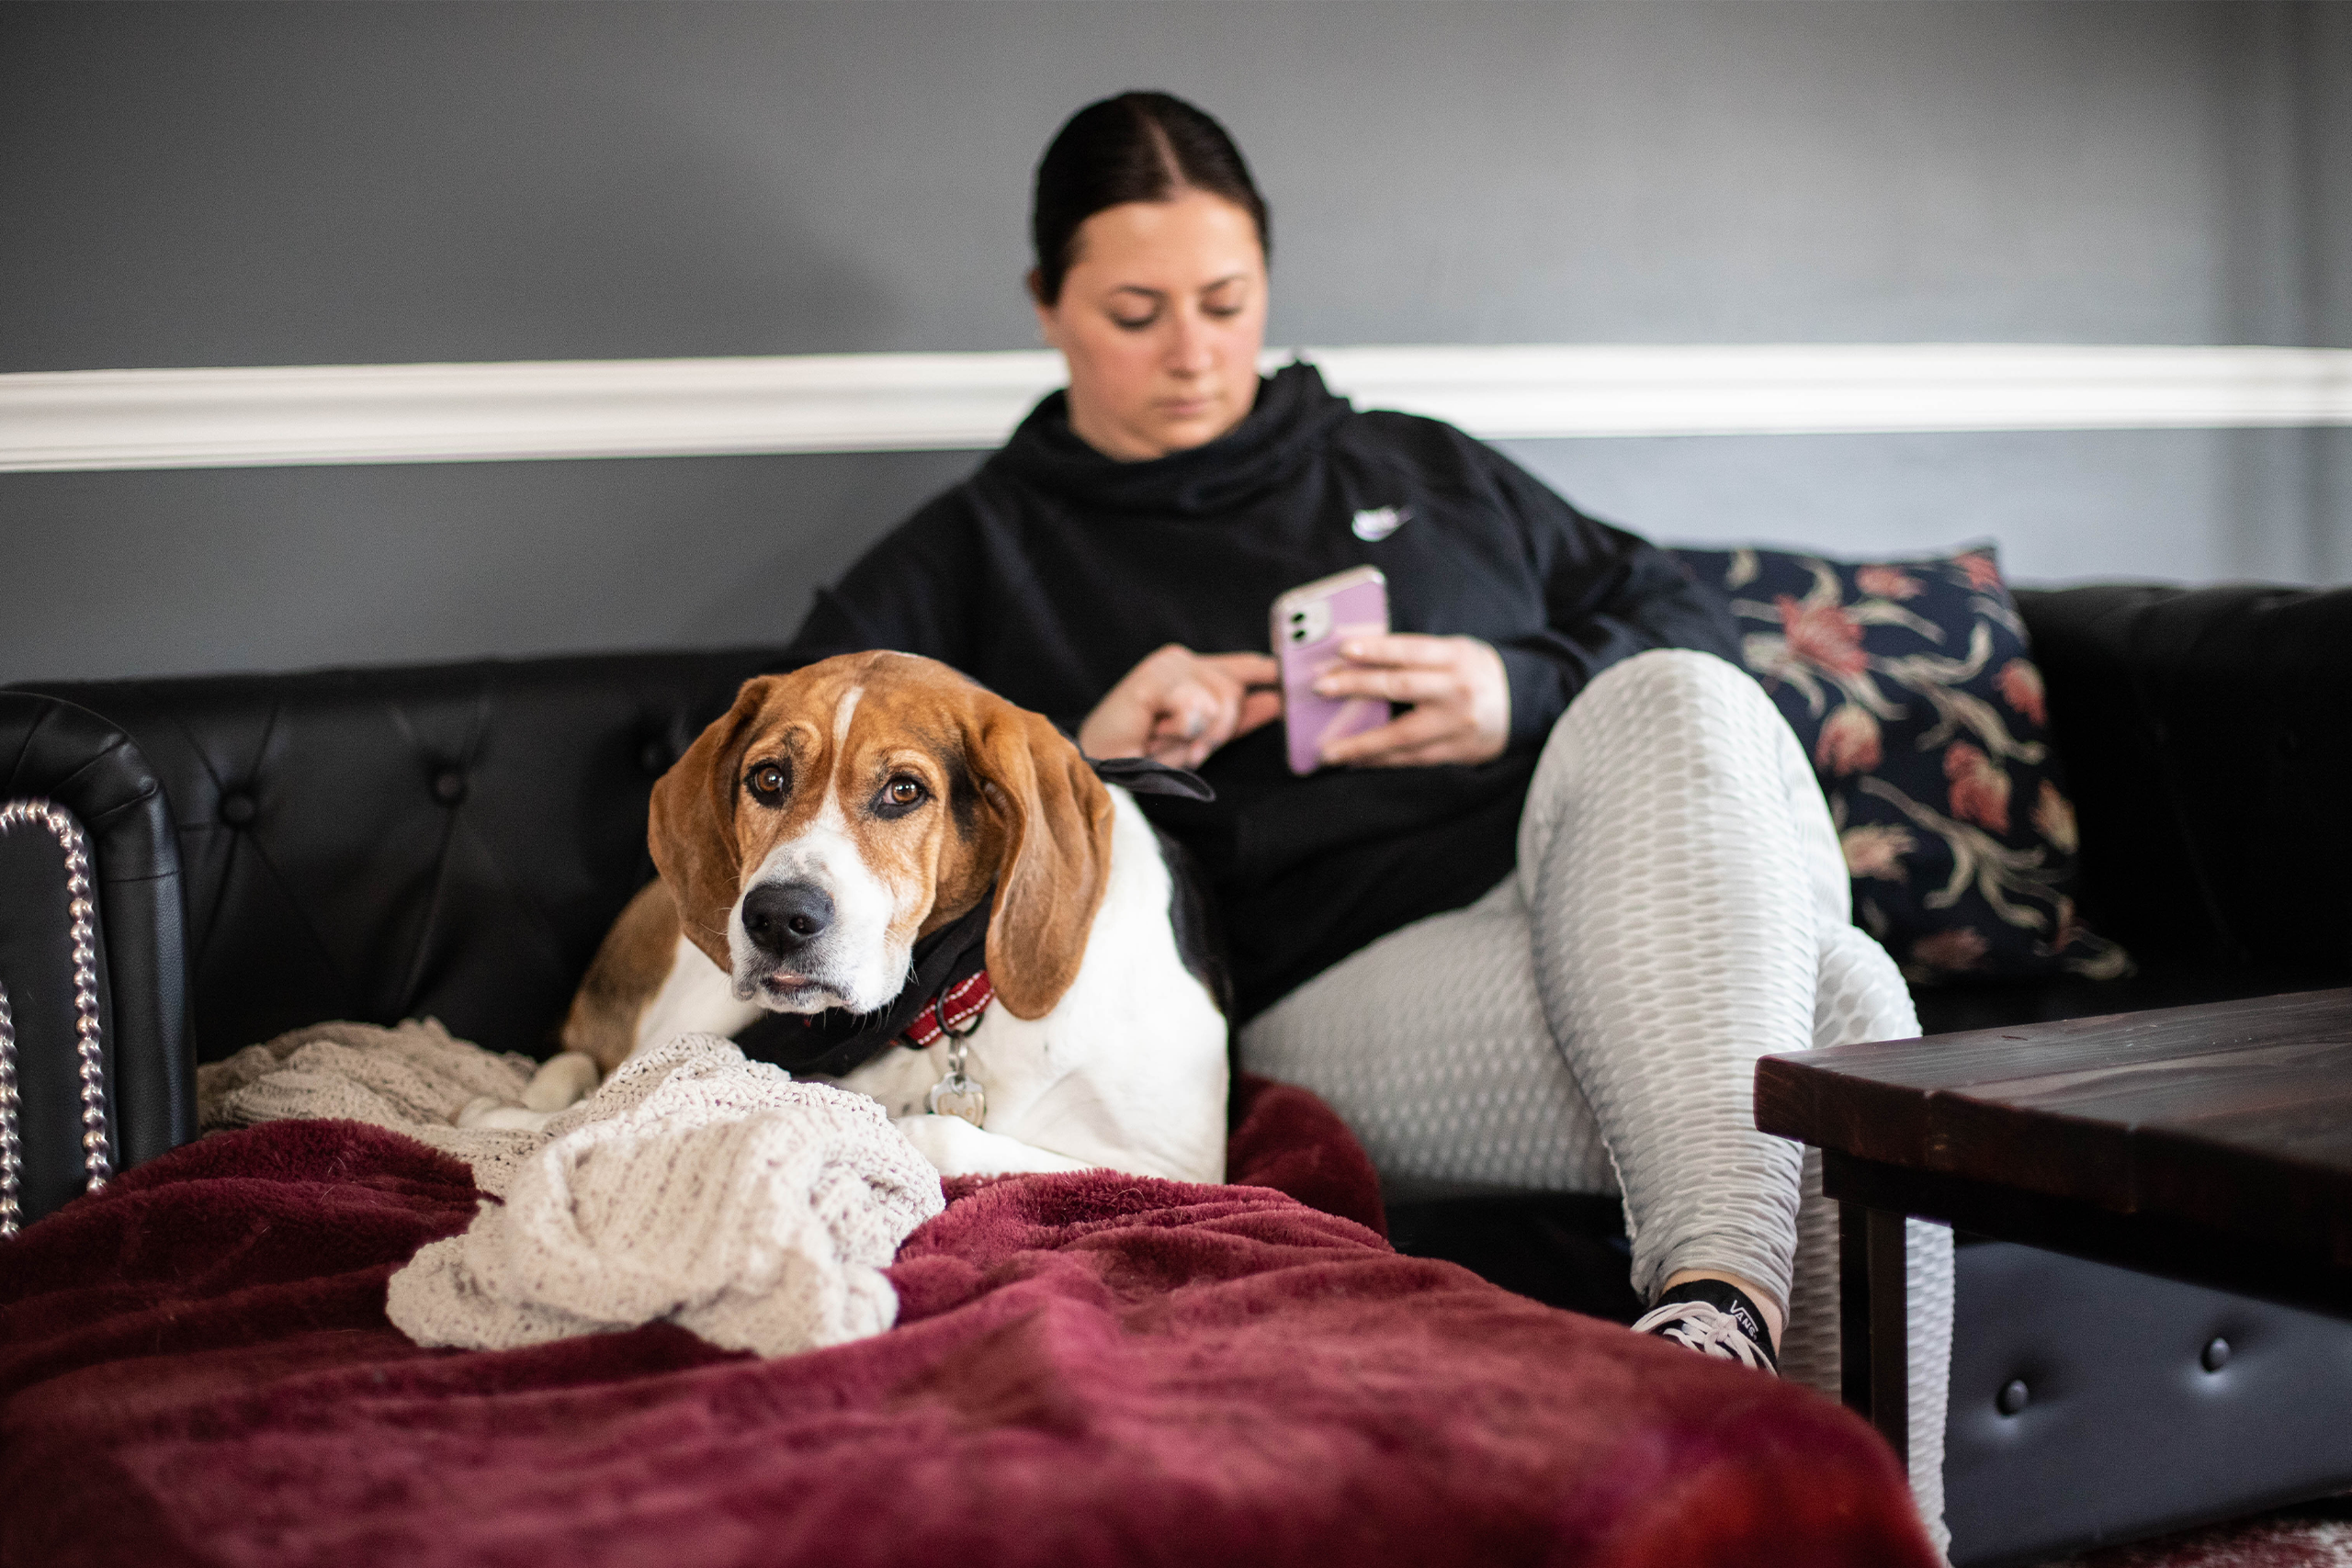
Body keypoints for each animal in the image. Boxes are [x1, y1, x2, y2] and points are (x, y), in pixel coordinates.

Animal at [493, 644, 1232, 1184]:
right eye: (768, 778)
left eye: (903, 791)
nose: (777, 917)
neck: (956, 996)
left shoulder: (1178, 1170)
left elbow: (939, 1132)